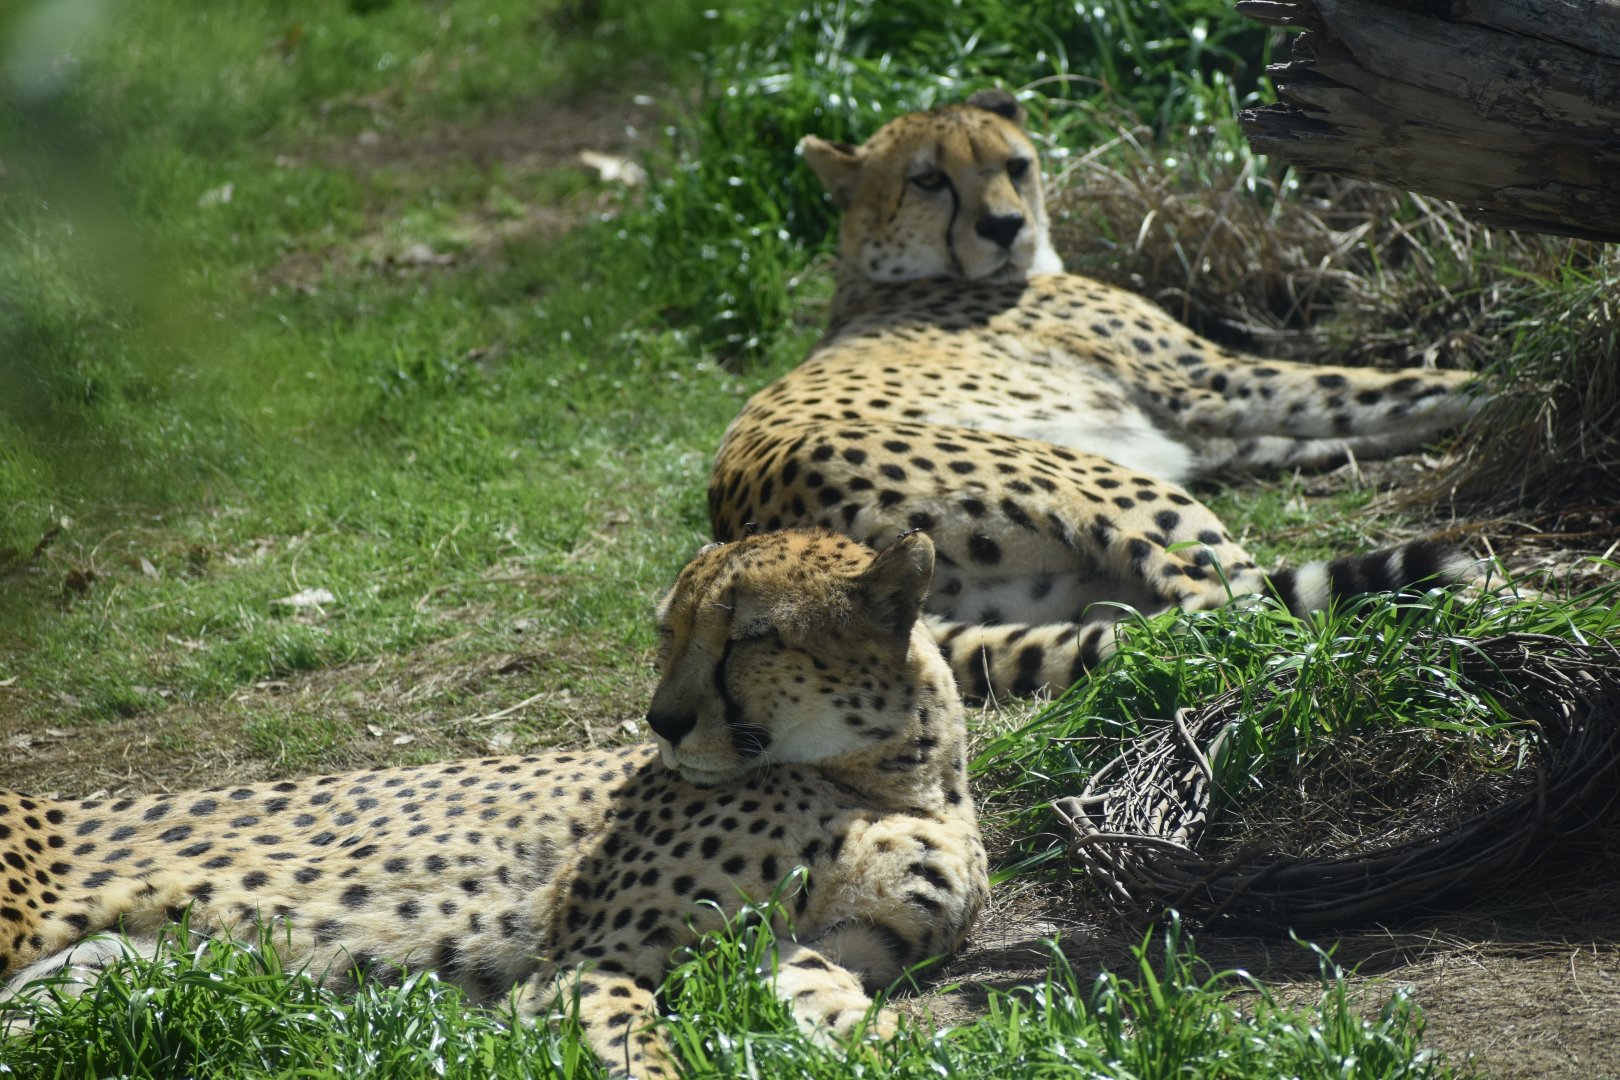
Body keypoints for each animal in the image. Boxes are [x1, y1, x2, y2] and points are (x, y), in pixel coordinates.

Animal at [0, 529, 986, 1079]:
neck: (881, 775)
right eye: (669, 632)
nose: (661, 721)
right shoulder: (589, 961)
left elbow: (861, 1019)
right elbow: (640, 1050)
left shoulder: (793, 952)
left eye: (750, 637)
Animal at [710, 88, 1483, 701]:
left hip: (1054, 585)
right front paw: (1499, 385)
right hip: (1115, 488)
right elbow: (1381, 385)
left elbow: (1357, 417)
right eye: (928, 179)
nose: (1004, 226)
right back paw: (1483, 606)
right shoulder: (1213, 384)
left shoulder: (1202, 430)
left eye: (1016, 166)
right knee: (1232, 599)